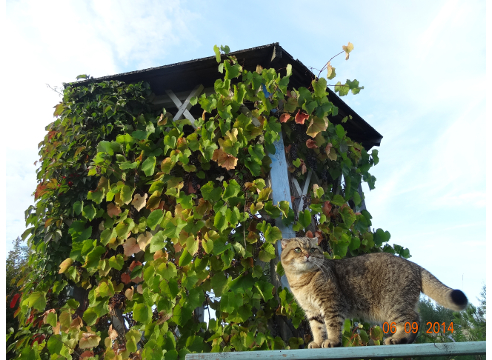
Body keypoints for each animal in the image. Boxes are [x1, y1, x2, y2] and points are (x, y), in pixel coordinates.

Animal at [280, 238, 468, 348]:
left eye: (312, 249)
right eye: (297, 249)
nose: (307, 255)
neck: (301, 281)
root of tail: (413, 264)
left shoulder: (331, 304)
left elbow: (332, 326)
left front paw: (332, 341)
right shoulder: (311, 311)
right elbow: (318, 328)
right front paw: (318, 342)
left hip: (394, 305)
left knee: (413, 320)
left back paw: (398, 339)